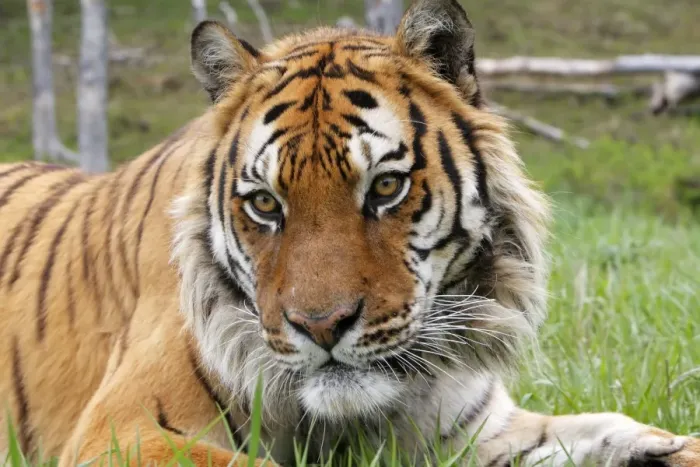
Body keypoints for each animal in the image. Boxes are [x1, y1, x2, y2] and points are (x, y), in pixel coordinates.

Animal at [0, 0, 698, 465]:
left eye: (385, 188)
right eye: (265, 203)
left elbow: (600, 426)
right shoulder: (123, 430)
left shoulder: (474, 430)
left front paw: (670, 446)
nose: (321, 326)